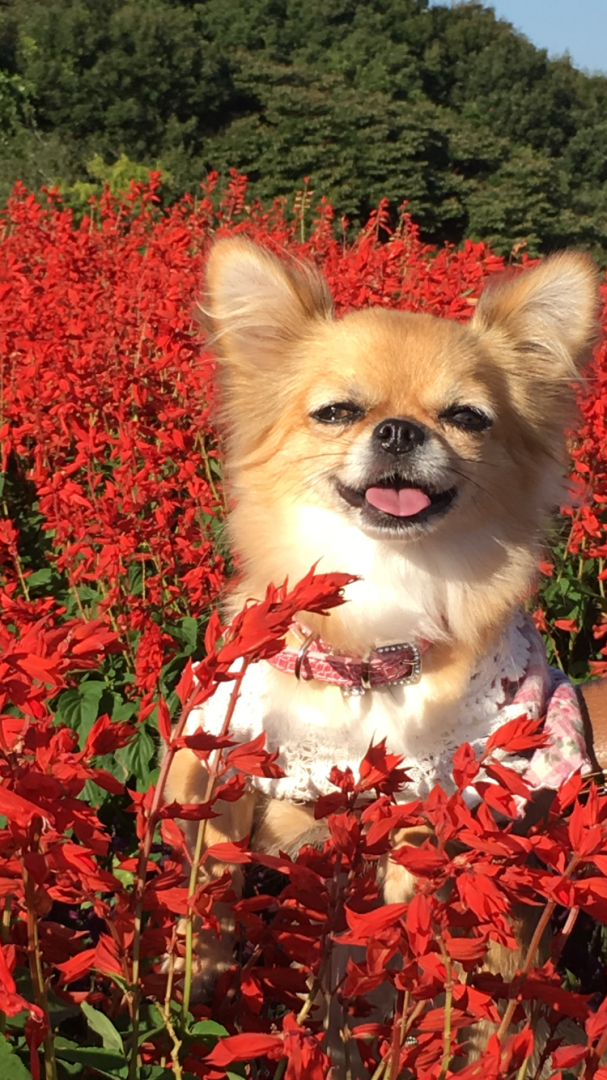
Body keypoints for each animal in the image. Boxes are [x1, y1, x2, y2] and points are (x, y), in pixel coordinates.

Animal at [163, 238, 596, 1045]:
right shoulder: (213, 751)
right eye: (337, 412)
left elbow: (404, 901)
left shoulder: (452, 786)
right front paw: (190, 975)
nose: (399, 429)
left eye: (467, 417)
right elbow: (206, 871)